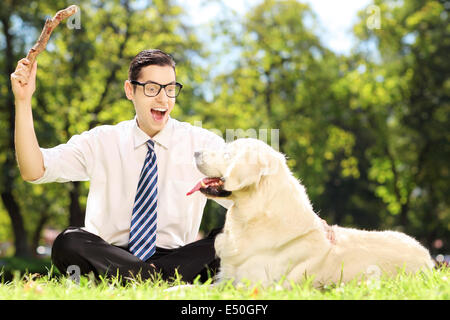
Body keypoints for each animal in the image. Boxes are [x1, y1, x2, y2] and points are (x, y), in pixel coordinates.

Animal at [189, 138, 432, 284]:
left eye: (227, 153)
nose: (195, 152)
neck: (254, 215)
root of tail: (429, 258)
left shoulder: (254, 285)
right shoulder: (225, 278)